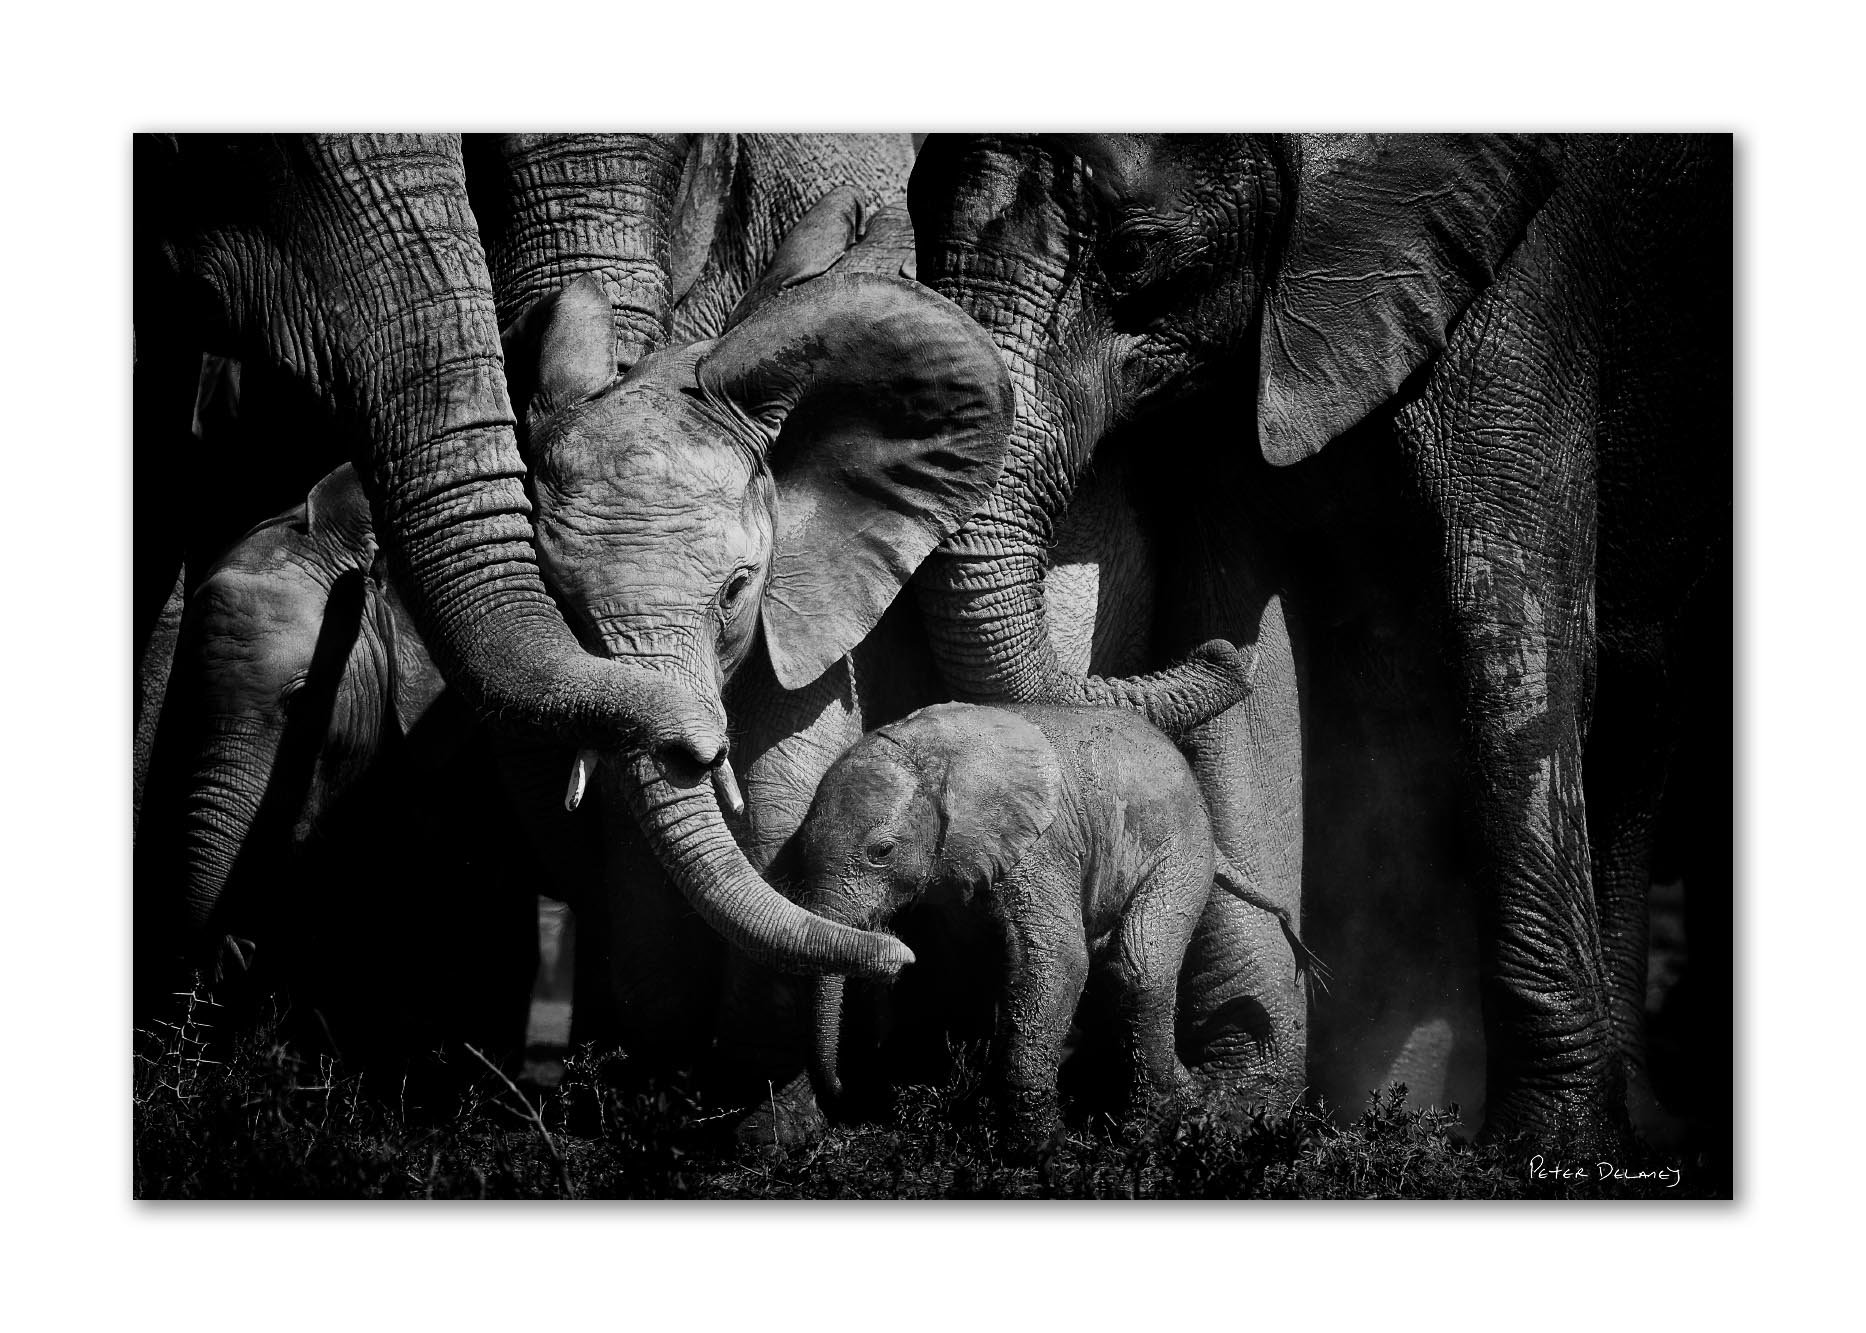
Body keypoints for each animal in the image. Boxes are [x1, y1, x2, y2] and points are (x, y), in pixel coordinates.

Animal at [798, 692, 1317, 1148]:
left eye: (882, 851)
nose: (844, 1093)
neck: (934, 756)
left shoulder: (1040, 845)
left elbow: (1058, 960)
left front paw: (1036, 1151)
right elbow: (962, 973)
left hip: (1182, 849)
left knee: (1138, 967)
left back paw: (1148, 1136)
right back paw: (1195, 1111)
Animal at [905, 134, 1731, 1148]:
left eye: (1133, 253)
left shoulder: (1529, 293)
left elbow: (1511, 639)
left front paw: (1544, 1149)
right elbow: (1234, 645)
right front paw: (1233, 1115)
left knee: (1639, 704)